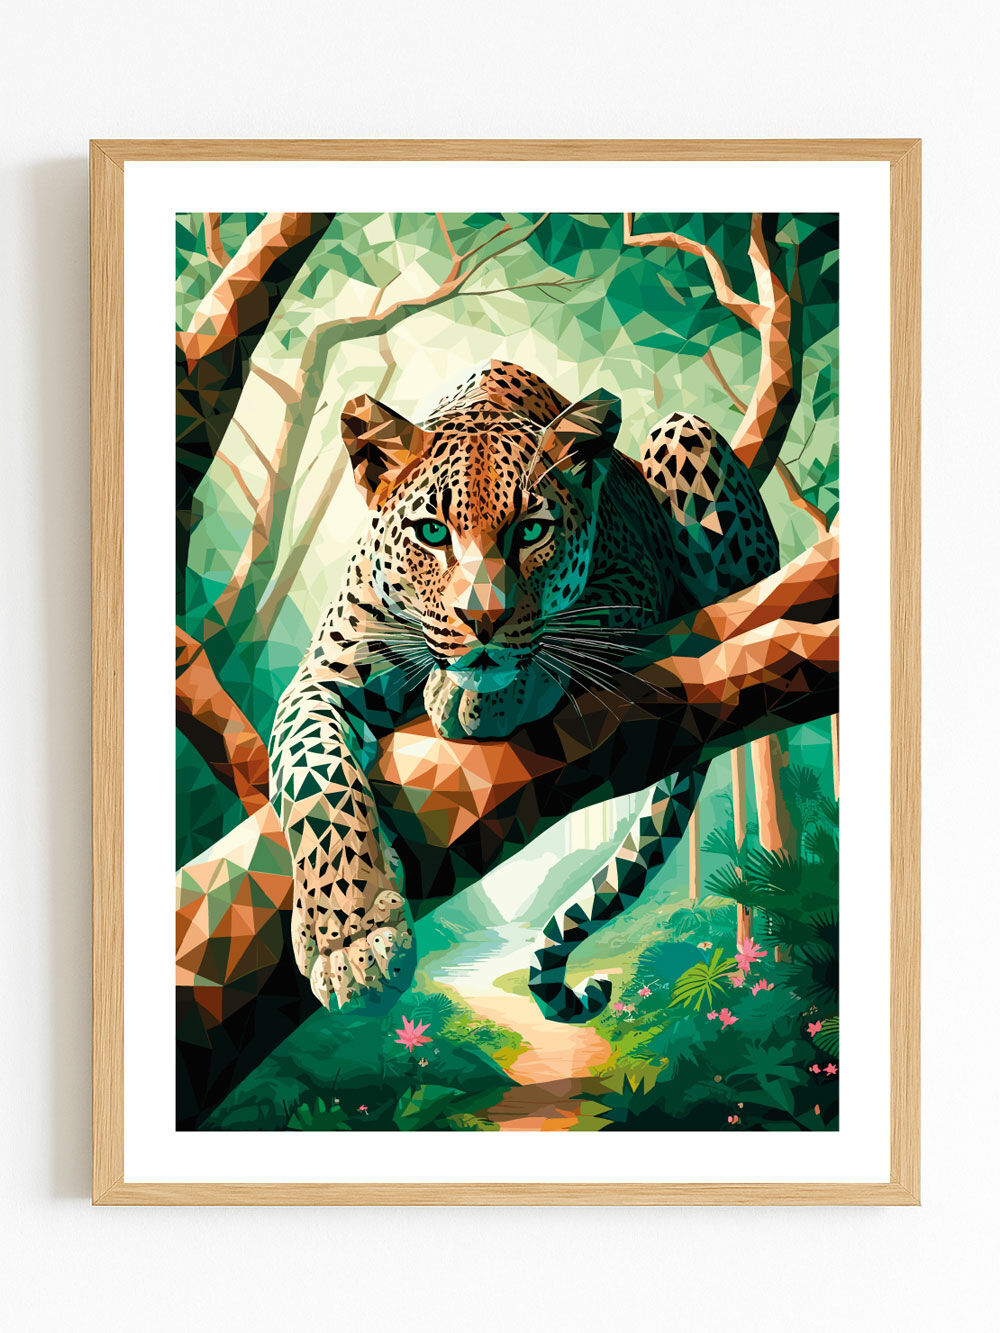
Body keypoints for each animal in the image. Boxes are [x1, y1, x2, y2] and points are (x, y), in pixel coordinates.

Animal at [269, 360, 779, 1021]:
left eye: (533, 530)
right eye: (431, 533)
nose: (481, 619)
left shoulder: (632, 578)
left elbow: (558, 635)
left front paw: (473, 696)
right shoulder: (322, 676)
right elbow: (315, 784)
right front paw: (352, 943)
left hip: (684, 435)